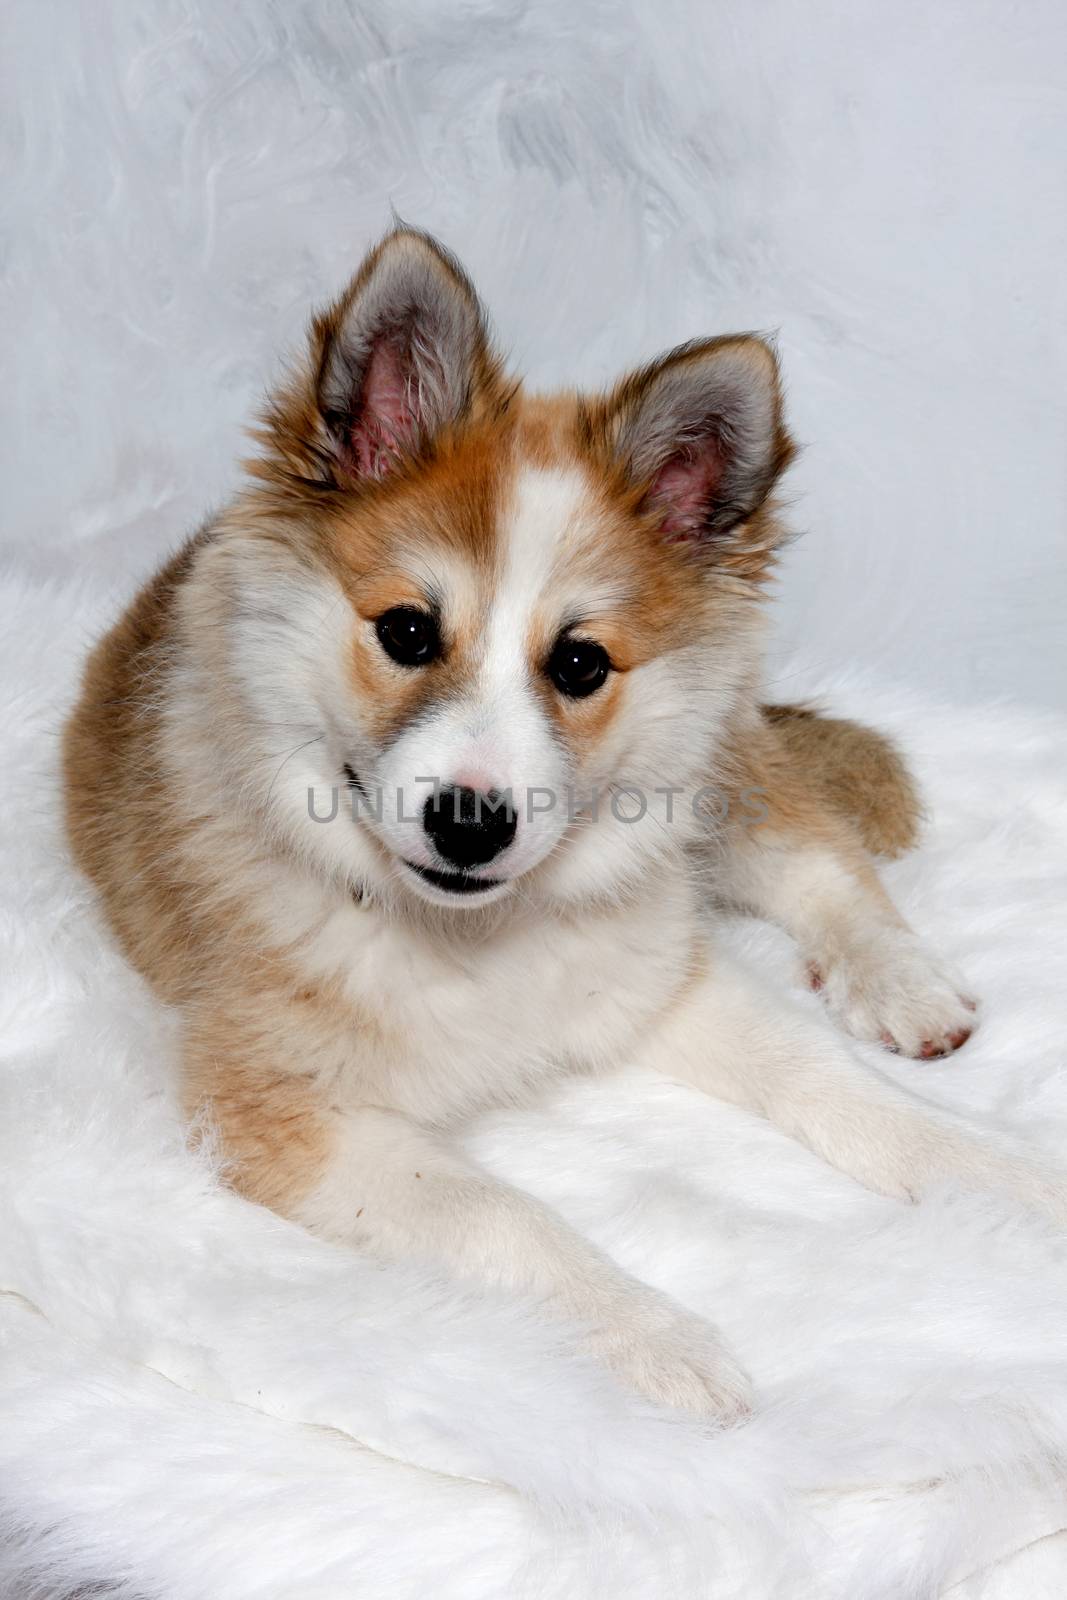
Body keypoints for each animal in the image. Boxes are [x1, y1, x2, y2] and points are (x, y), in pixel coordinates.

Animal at [64, 232, 1067, 1420]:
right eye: (407, 632)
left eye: (580, 663)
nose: (468, 825)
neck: (476, 935)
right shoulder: (278, 1107)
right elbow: (496, 1213)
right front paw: (659, 1335)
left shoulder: (655, 974)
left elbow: (824, 1077)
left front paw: (994, 1174)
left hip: (716, 761)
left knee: (815, 851)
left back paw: (897, 979)